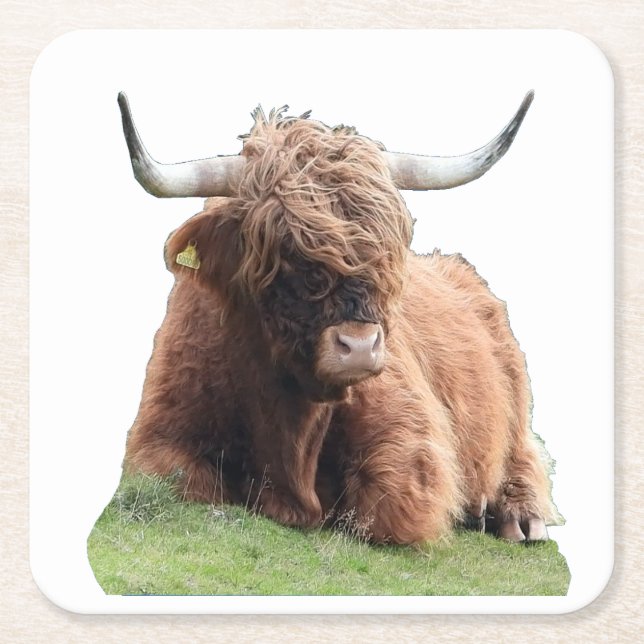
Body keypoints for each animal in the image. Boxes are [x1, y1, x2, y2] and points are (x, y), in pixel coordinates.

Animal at [118, 91, 559, 545]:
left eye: (387, 249)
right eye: (282, 253)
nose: (360, 347)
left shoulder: (410, 443)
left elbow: (382, 509)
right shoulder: (157, 435)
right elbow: (180, 479)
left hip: (515, 396)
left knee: (523, 452)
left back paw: (518, 517)